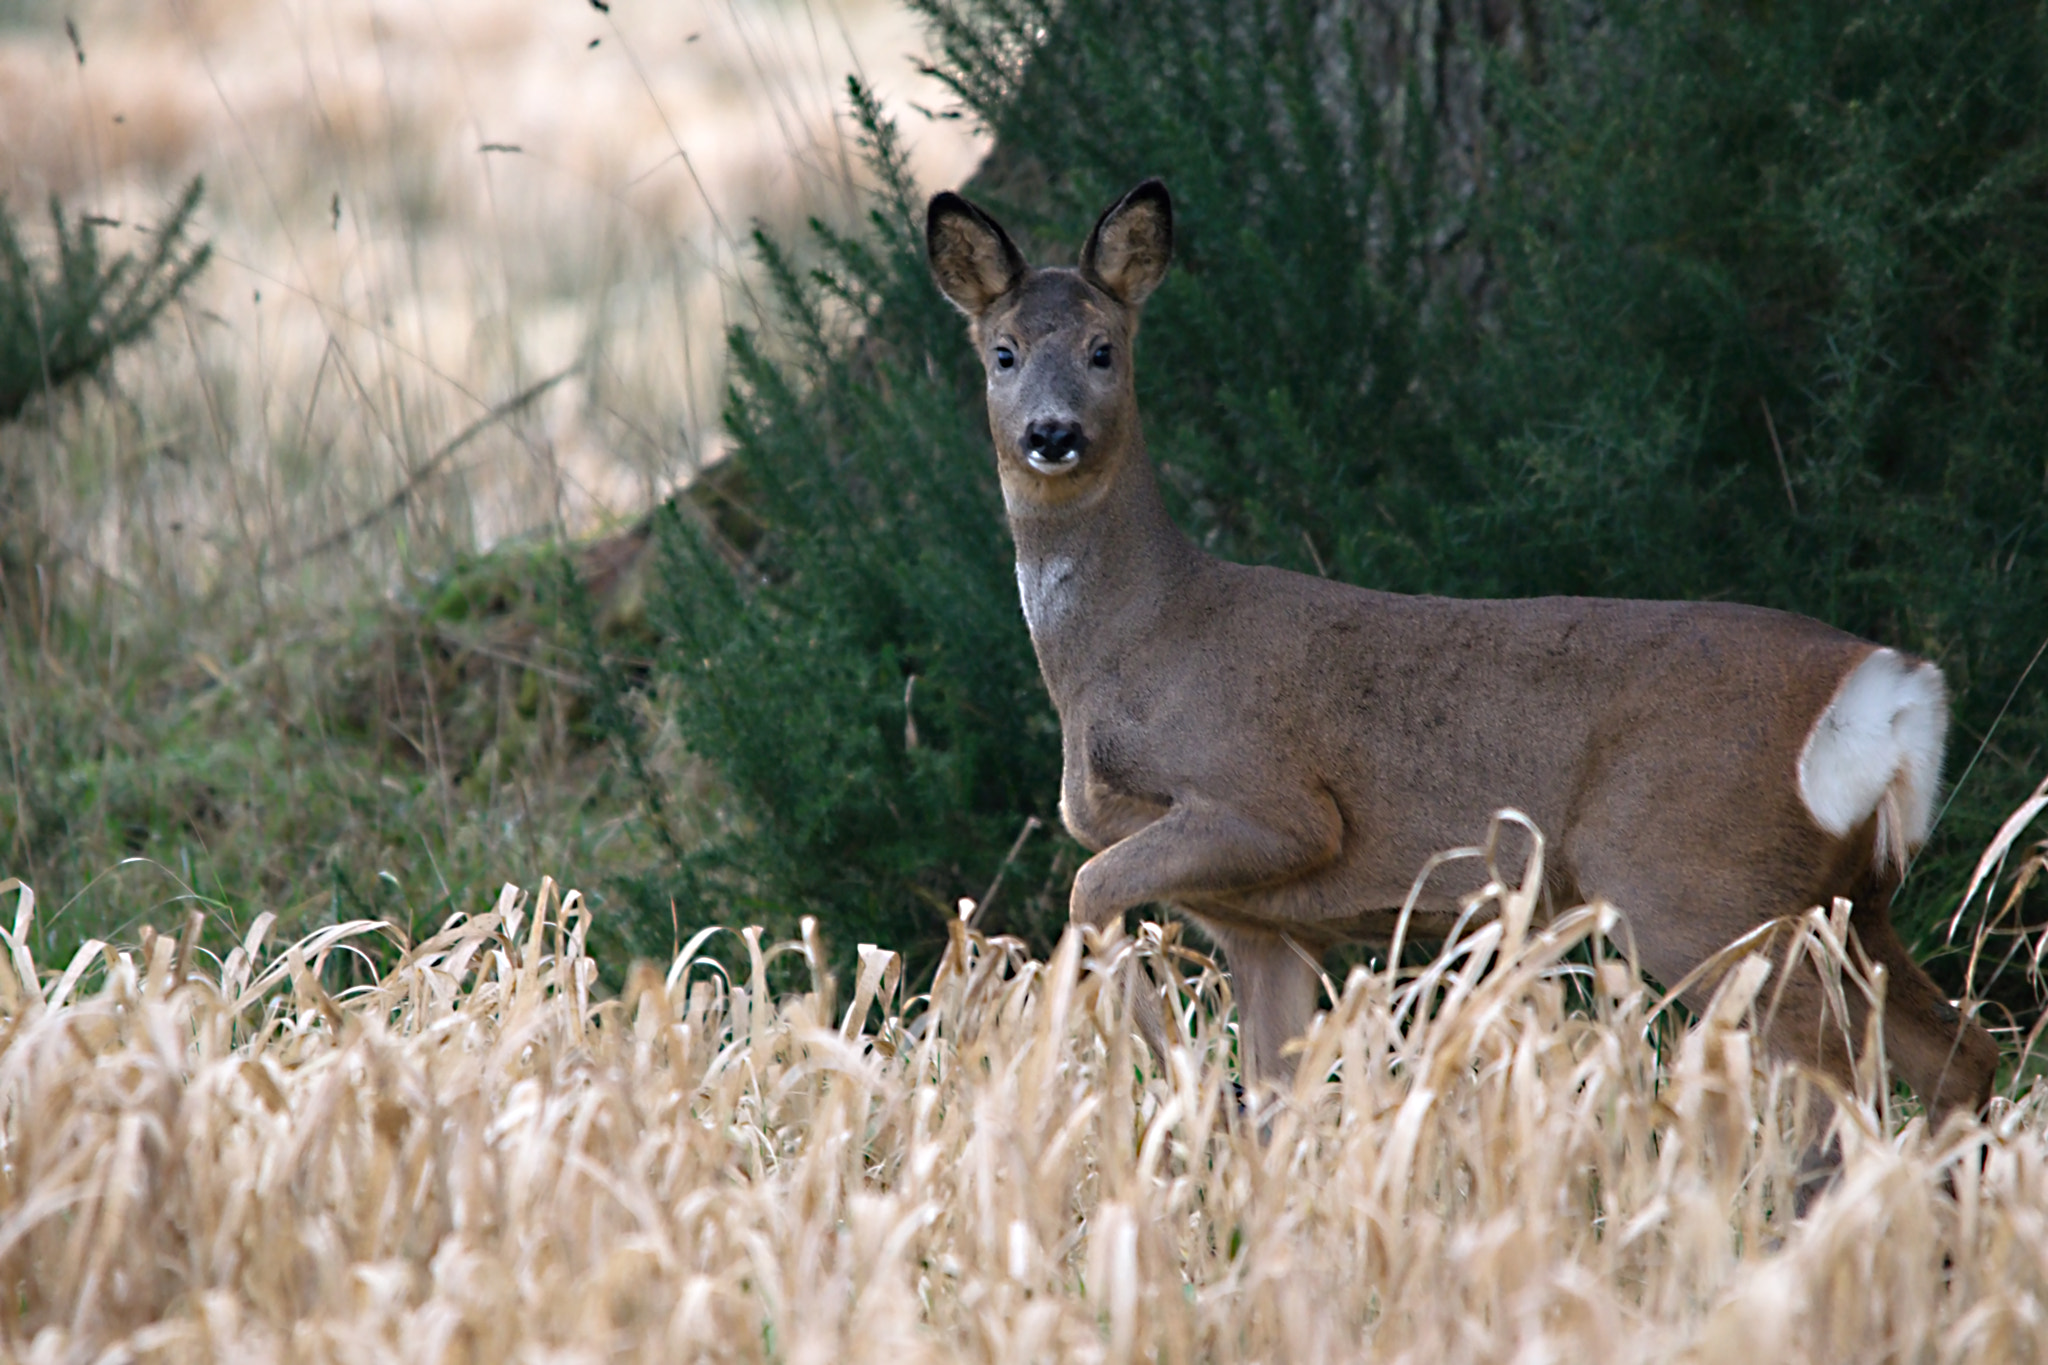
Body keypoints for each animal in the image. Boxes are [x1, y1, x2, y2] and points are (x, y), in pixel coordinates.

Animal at [925, 177, 1998, 1143]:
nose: (1052, 433)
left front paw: (1172, 1075)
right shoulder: (1263, 920)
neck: (1131, 643)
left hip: (1700, 878)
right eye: (1003, 353)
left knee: (1833, 1075)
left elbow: (1087, 888)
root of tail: (1887, 689)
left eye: (1104, 349)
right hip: (1847, 896)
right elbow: (1275, 1098)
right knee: (1957, 1050)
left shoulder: (1271, 803)